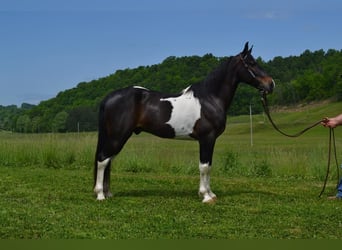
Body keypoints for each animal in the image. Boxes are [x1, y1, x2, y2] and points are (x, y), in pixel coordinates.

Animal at [93, 42, 276, 203]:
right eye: (251, 64)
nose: (271, 84)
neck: (210, 99)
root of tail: (109, 97)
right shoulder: (206, 138)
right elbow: (204, 166)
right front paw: (205, 196)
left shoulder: (210, 140)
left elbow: (209, 166)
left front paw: (211, 193)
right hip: (118, 136)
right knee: (103, 160)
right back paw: (100, 195)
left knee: (108, 161)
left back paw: (108, 193)